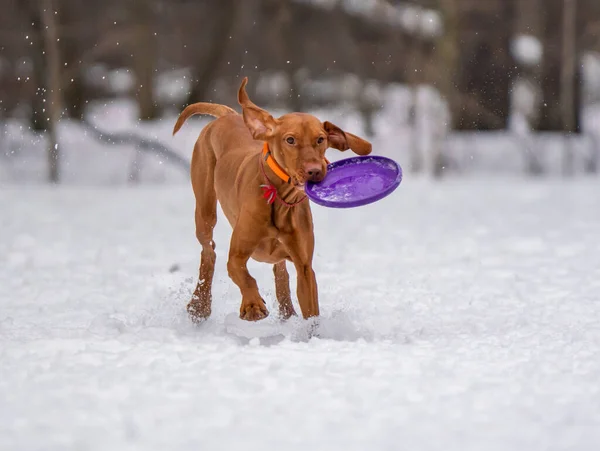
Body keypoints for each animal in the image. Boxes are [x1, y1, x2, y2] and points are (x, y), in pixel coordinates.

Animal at [172, 78, 370, 324]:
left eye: (320, 139)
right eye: (290, 140)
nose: (315, 171)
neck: (281, 199)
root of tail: (228, 115)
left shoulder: (305, 268)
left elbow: (311, 312)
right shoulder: (236, 256)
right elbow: (245, 277)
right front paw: (252, 305)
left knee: (280, 270)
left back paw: (287, 312)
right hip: (205, 210)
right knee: (209, 252)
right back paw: (200, 305)